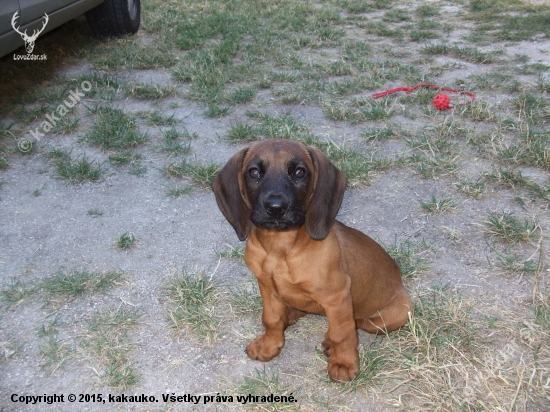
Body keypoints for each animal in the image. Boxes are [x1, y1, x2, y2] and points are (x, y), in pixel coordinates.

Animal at [213, 140, 412, 382]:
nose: (276, 207)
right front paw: (269, 344)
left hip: (389, 318)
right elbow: (271, 317)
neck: (280, 249)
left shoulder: (337, 296)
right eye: (254, 172)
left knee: (355, 323)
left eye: (299, 172)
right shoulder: (266, 287)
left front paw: (344, 361)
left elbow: (342, 333)